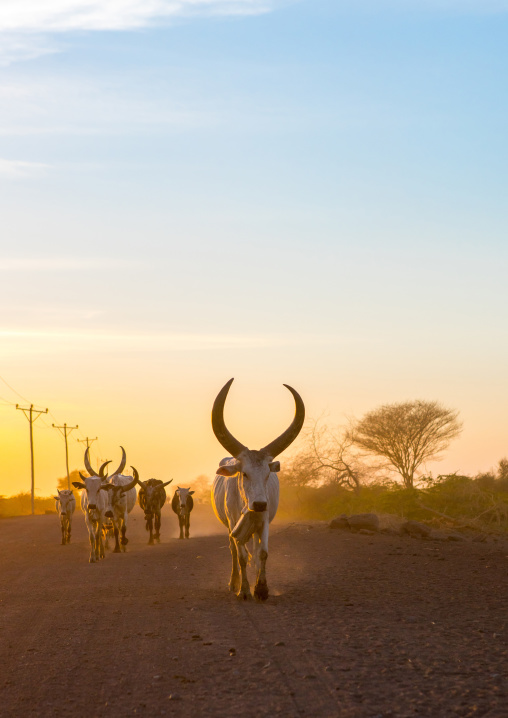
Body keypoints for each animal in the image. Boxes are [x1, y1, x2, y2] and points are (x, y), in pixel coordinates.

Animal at [211, 378, 305, 601]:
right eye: (244, 473)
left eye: (267, 473)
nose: (260, 503)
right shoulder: (234, 522)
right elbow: (241, 555)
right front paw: (244, 590)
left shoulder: (264, 520)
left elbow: (262, 552)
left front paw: (261, 589)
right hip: (229, 525)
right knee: (234, 550)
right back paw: (234, 583)